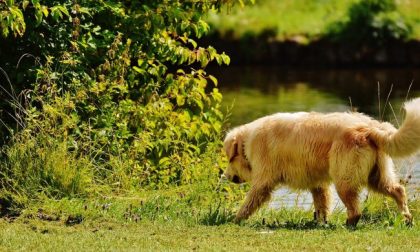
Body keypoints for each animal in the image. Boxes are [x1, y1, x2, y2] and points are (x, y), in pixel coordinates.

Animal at [223, 97, 420, 225]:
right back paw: (407, 218)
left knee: (356, 210)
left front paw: (235, 219)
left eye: (229, 159)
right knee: (398, 190)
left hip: (345, 178)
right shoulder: (318, 183)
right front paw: (321, 222)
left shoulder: (264, 180)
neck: (247, 142)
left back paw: (348, 224)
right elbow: (322, 203)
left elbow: (250, 201)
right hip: (377, 176)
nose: (226, 176)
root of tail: (370, 127)